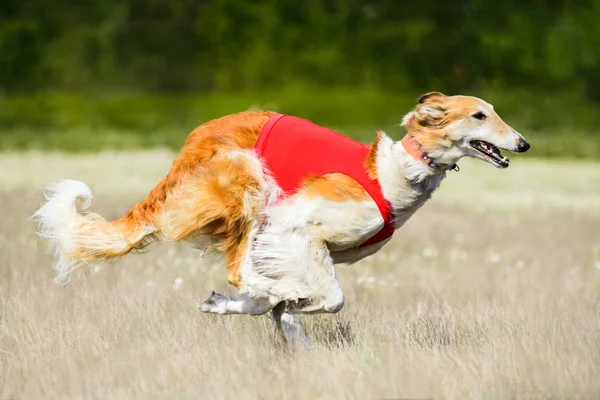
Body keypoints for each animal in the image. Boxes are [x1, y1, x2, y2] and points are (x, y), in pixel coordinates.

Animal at [32, 91, 528, 344]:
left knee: (246, 283)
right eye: (479, 115)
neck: (393, 174)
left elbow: (279, 303)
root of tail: (188, 148)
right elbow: (327, 298)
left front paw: (277, 317)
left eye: (494, 112)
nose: (522, 143)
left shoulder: (310, 248)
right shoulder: (294, 227)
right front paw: (291, 305)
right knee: (239, 272)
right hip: (248, 182)